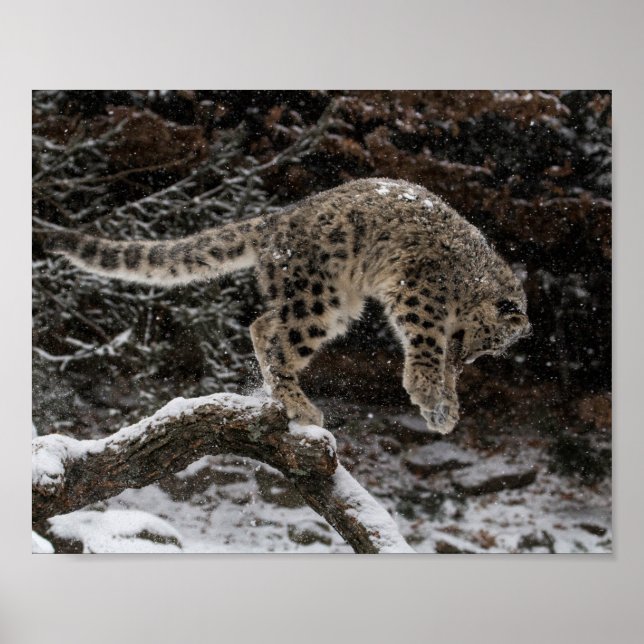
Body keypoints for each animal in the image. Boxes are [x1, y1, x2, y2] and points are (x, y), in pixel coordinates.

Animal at [46, 177, 531, 434]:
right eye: (494, 341)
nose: (471, 358)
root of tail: (276, 220)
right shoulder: (422, 298)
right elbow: (427, 348)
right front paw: (429, 393)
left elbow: (442, 367)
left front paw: (445, 409)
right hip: (318, 298)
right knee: (278, 338)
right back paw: (300, 406)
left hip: (336, 303)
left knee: (264, 325)